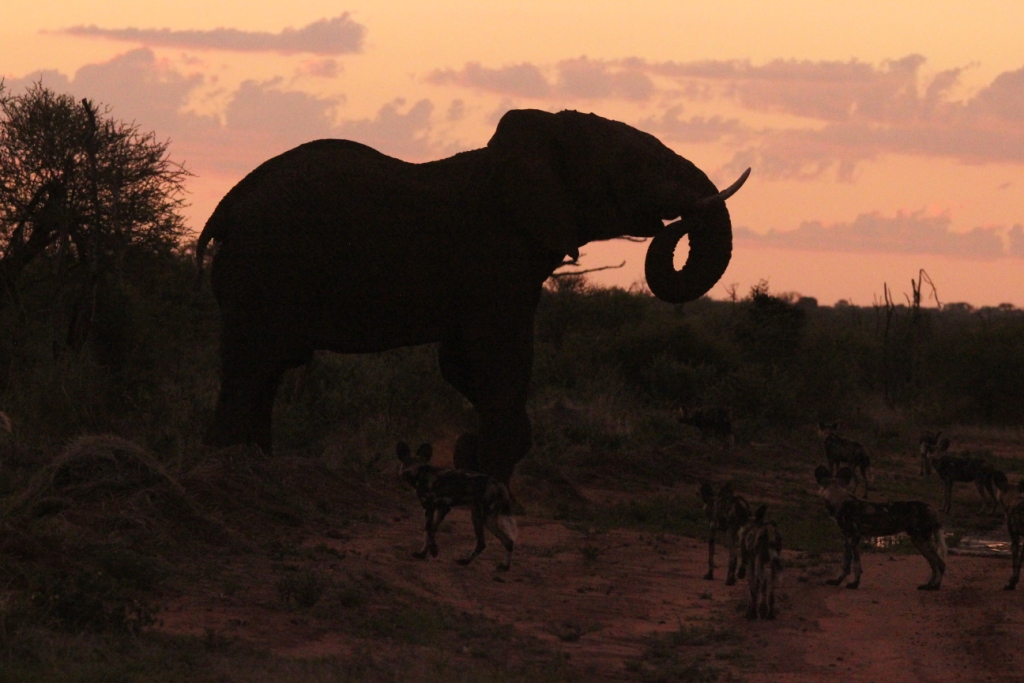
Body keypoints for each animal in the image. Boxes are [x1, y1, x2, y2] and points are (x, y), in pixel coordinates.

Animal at [195, 108, 749, 484]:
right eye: (637, 165)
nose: (675, 221)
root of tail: (226, 208)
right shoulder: (495, 256)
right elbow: (498, 358)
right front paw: (490, 481)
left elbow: (463, 365)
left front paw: (469, 457)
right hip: (264, 270)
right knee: (250, 370)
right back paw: (232, 471)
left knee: (264, 373)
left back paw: (259, 466)